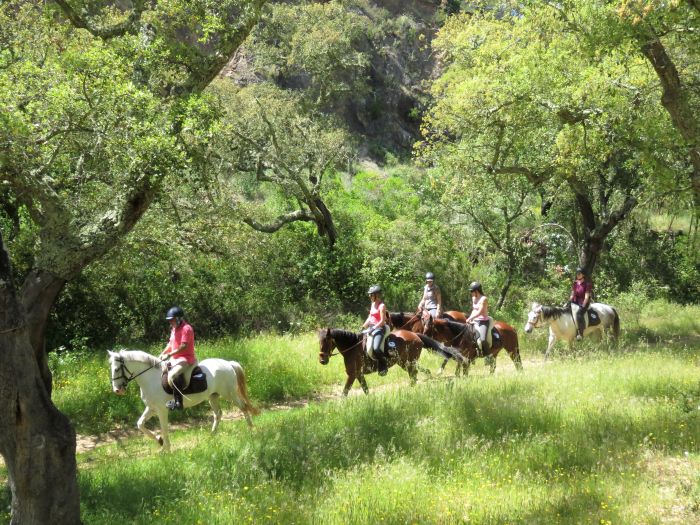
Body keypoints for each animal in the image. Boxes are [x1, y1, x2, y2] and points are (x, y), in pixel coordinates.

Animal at [104, 348, 258, 450]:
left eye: (116, 369)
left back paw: (251, 430)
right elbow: (140, 424)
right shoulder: (151, 408)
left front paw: (166, 449)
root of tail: (228, 363)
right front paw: (159, 441)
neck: (150, 378)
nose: (117, 390)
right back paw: (212, 435)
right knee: (218, 414)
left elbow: (164, 428)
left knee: (243, 407)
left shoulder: (161, 409)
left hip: (229, 394)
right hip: (212, 396)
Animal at [318, 326, 464, 396]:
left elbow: (345, 392)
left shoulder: (353, 374)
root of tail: (416, 335)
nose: (322, 360)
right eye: (319, 341)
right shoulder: (358, 374)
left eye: (327, 341)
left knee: (414, 376)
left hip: (408, 363)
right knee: (418, 373)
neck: (352, 346)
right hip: (406, 363)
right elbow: (365, 390)